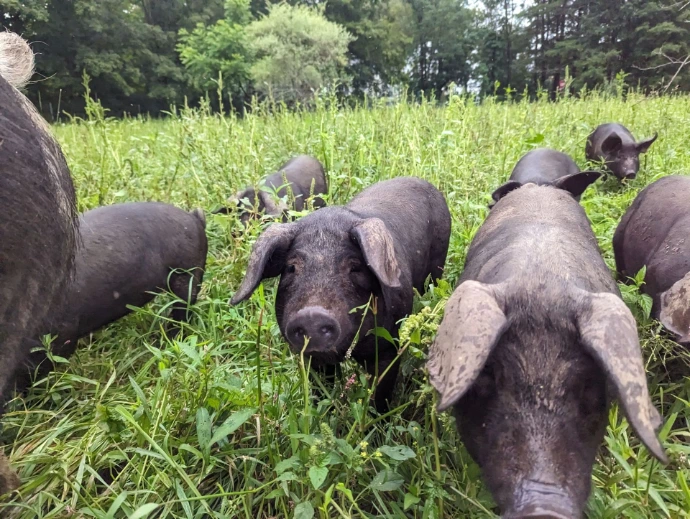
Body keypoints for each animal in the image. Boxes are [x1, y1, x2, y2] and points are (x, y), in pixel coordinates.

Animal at [231, 177, 451, 410]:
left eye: (355, 267)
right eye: (291, 267)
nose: (311, 314)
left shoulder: (388, 345)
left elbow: (380, 392)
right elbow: (320, 389)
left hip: (438, 263)